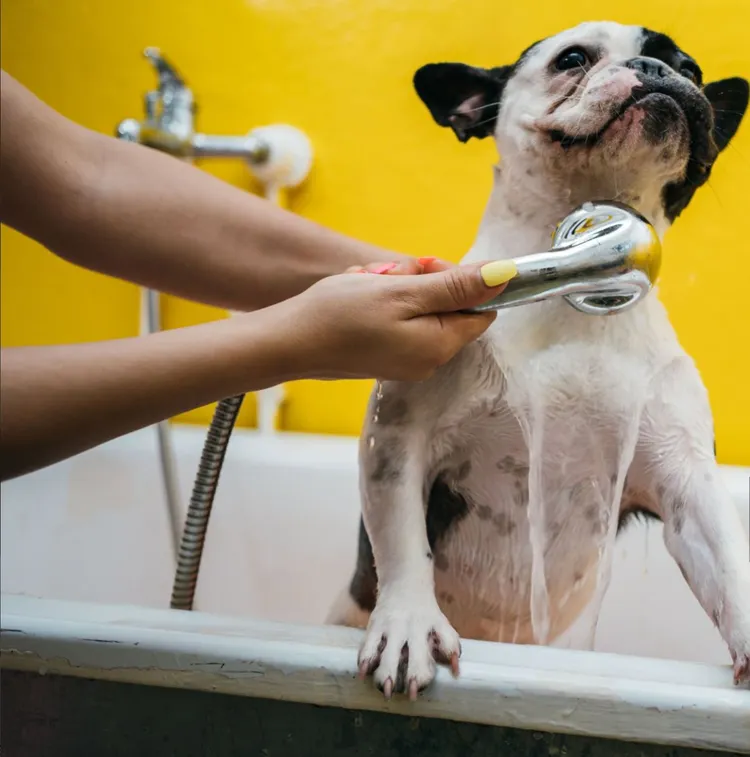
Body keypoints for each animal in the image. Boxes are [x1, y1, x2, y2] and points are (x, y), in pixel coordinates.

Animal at [328, 19, 750, 696]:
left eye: (691, 70)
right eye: (572, 59)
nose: (658, 71)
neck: (578, 289)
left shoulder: (688, 482)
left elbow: (730, 569)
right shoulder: (397, 441)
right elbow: (402, 542)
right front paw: (408, 622)